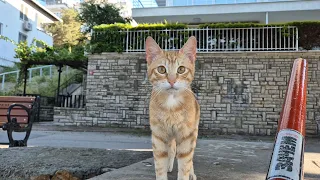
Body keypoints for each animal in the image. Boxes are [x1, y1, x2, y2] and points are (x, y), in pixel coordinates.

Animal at [146, 35, 200, 180]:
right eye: (161, 69)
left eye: (181, 69)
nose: (171, 81)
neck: (171, 105)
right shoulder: (159, 136)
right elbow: (160, 165)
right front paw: (164, 169)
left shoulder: (186, 136)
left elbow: (185, 164)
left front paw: (187, 173)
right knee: (172, 150)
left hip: (193, 134)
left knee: (190, 157)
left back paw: (192, 173)